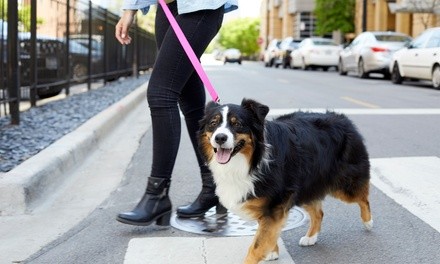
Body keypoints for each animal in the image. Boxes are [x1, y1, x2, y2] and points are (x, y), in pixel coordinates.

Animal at [198, 98, 372, 264]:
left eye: (237, 124)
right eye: (213, 123)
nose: (220, 138)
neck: (251, 160)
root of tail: (343, 119)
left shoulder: (275, 202)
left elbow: (257, 245)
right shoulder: (268, 203)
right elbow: (267, 232)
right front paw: (272, 251)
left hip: (344, 184)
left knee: (363, 198)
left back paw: (368, 222)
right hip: (303, 187)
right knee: (319, 212)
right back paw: (311, 237)